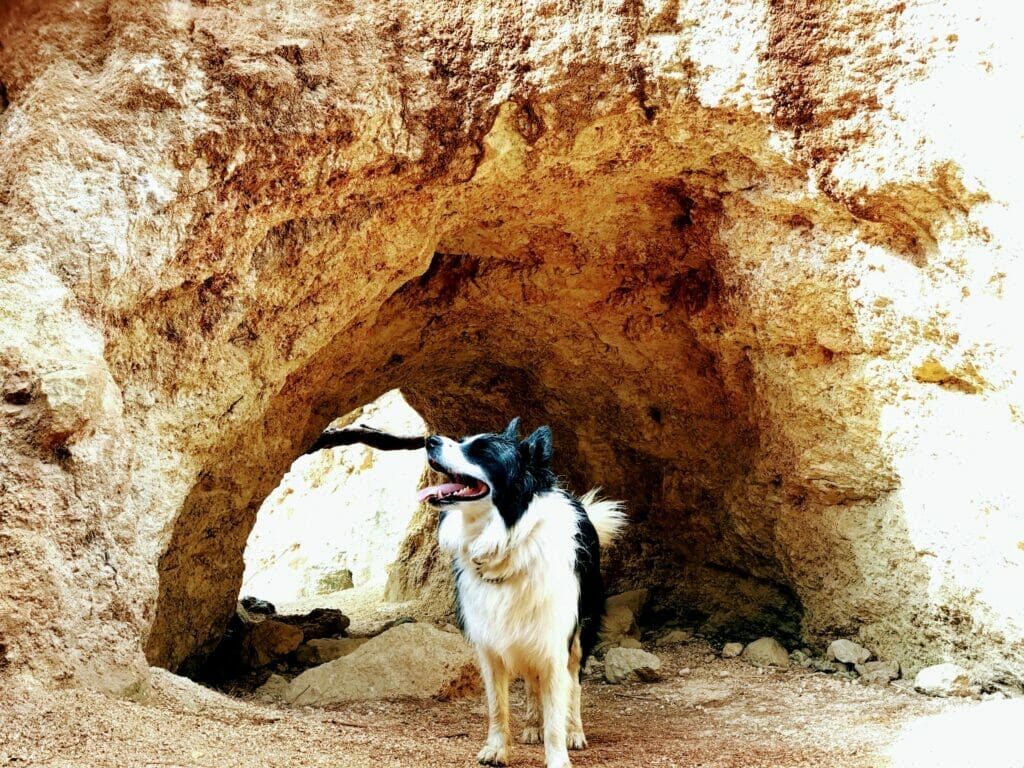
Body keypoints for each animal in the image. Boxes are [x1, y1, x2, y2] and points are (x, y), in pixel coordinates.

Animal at [413, 421, 622, 768]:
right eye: (462, 440)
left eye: (482, 451)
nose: (430, 440)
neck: (507, 541)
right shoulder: (491, 644)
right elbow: (498, 707)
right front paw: (497, 749)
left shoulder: (554, 643)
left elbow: (557, 710)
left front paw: (558, 757)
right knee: (532, 684)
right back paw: (533, 726)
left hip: (578, 634)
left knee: (574, 685)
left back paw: (574, 731)